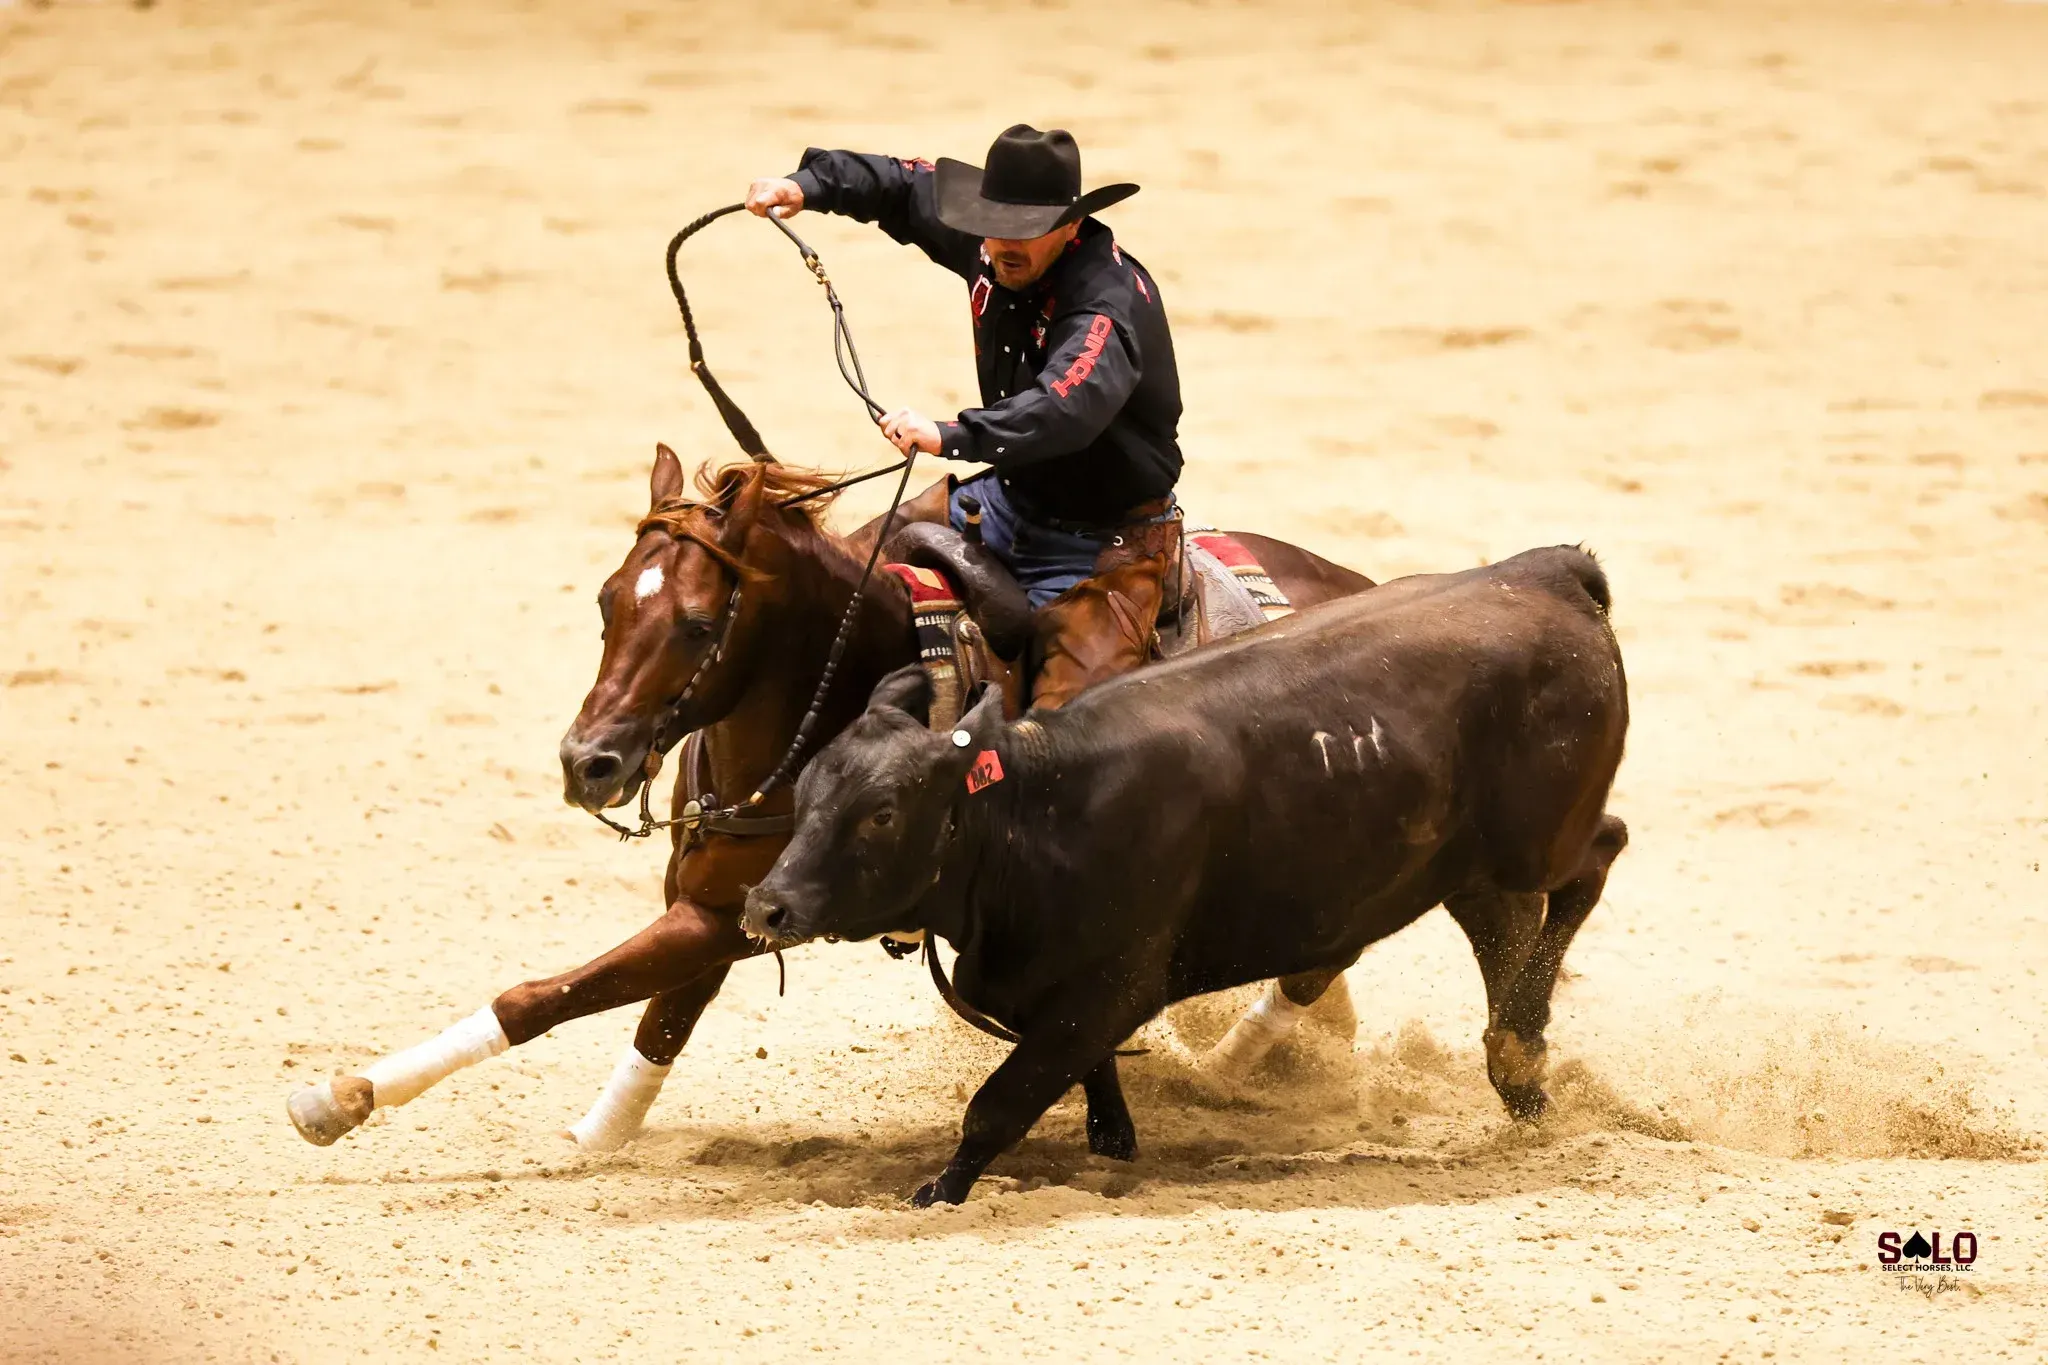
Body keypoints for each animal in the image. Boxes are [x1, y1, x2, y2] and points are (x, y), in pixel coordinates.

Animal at [286, 444, 1375, 1150]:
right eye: (604, 601)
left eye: (696, 624)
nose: (586, 761)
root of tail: (1357, 581)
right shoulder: (712, 903)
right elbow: (659, 1021)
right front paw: (597, 1137)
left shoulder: (737, 915)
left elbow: (551, 994)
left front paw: (343, 1096)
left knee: (1319, 957)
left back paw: (1234, 1063)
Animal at [741, 546, 1630, 1206]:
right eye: (807, 792)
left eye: (882, 813)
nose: (766, 905)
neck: (1038, 810)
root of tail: (1542, 570)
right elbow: (1091, 1088)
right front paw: (1112, 1141)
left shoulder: (1112, 986)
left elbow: (998, 1104)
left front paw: (939, 1191)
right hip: (1468, 864)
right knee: (1501, 930)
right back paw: (1520, 1073)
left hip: (1539, 839)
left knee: (1595, 859)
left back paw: (1519, 1045)